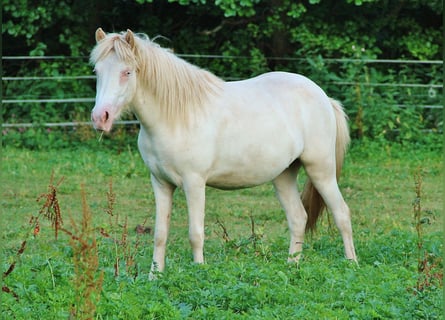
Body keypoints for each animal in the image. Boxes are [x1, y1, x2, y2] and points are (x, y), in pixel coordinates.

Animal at [90, 27, 358, 276]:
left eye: (127, 72)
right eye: (97, 72)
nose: (100, 118)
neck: (176, 117)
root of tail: (324, 97)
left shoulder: (194, 183)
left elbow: (195, 233)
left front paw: (199, 272)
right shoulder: (160, 183)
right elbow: (160, 234)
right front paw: (154, 276)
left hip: (321, 170)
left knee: (342, 213)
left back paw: (351, 264)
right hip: (283, 175)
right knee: (298, 217)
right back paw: (292, 266)